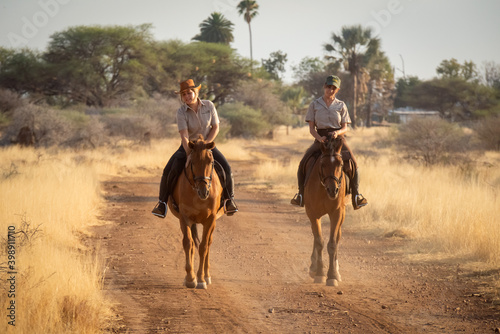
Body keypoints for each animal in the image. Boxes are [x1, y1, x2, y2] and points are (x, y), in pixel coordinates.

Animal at [168, 134, 223, 288]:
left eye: (211, 161)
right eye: (192, 162)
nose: (204, 191)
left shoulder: (210, 220)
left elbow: (203, 246)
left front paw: (201, 279)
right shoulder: (185, 218)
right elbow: (188, 243)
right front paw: (190, 278)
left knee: (208, 243)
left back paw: (207, 275)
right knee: (193, 243)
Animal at [302, 136, 346, 288]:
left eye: (341, 164)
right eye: (322, 164)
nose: (333, 190)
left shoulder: (337, 213)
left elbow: (332, 243)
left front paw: (332, 276)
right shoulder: (312, 213)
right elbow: (319, 241)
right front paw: (320, 274)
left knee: (338, 238)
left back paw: (337, 272)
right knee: (316, 238)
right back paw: (313, 267)